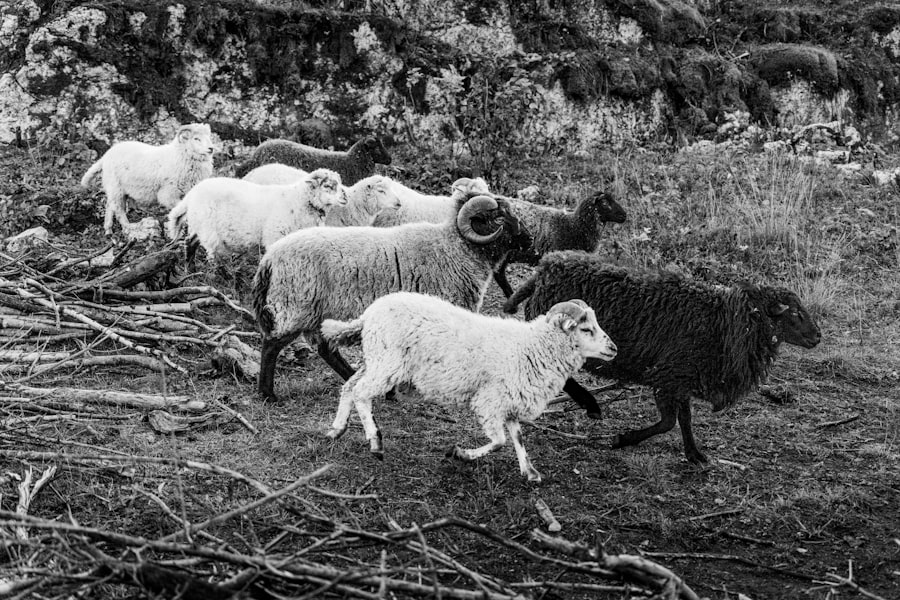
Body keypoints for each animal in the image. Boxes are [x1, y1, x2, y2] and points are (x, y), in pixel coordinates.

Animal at [81, 123, 215, 235]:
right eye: (196, 138)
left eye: (209, 137)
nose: (211, 148)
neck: (180, 155)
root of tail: (106, 155)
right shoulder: (168, 193)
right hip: (116, 187)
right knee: (119, 210)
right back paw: (129, 226)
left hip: (116, 189)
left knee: (109, 205)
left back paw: (108, 229)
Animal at [165, 168, 345, 261]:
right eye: (328, 186)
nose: (345, 197)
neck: (298, 200)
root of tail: (191, 194)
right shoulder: (275, 236)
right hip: (207, 227)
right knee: (206, 251)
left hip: (199, 225)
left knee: (190, 243)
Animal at [252, 192, 532, 402]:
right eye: (499, 217)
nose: (529, 240)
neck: (454, 249)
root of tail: (269, 260)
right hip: (295, 306)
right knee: (272, 344)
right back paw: (268, 394)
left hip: (317, 313)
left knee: (325, 350)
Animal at [320, 292, 617, 481]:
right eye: (586, 329)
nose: (614, 348)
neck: (532, 347)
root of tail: (368, 314)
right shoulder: (489, 401)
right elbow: (499, 441)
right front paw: (460, 454)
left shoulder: (509, 401)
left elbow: (518, 437)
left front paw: (530, 472)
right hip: (387, 363)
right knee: (361, 393)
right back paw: (375, 441)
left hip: (376, 360)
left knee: (350, 387)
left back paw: (337, 429)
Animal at [503, 251, 822, 464]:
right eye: (794, 313)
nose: (818, 336)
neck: (727, 321)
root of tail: (545, 268)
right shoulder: (669, 375)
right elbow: (669, 422)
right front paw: (622, 440)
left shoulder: (682, 377)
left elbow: (685, 419)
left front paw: (695, 454)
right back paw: (590, 404)